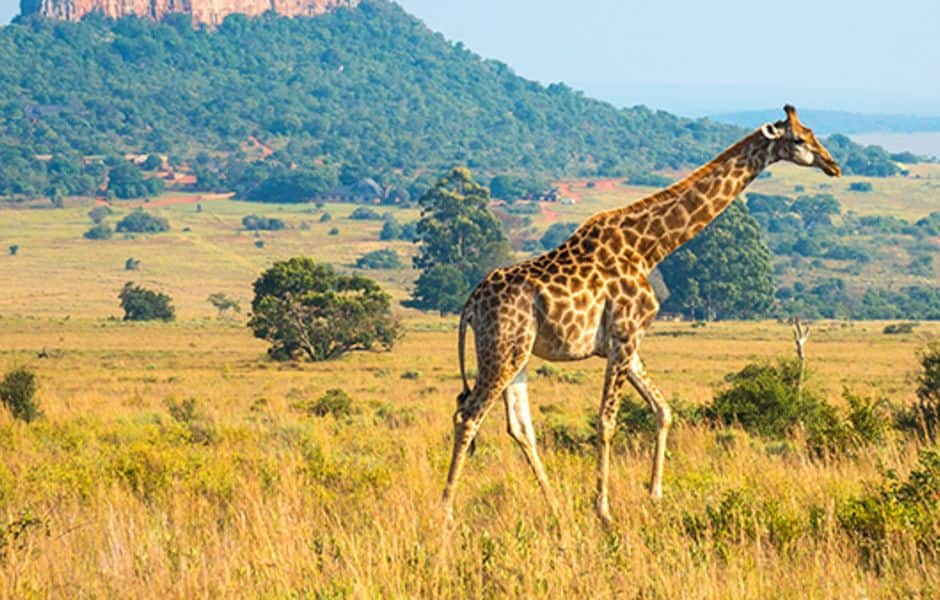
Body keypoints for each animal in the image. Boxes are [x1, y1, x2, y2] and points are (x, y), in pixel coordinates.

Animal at [444, 105, 840, 524]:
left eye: (812, 132)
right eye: (798, 139)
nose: (833, 164)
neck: (649, 248)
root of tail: (471, 303)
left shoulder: (628, 344)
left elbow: (663, 410)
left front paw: (655, 494)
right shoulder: (624, 337)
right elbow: (606, 421)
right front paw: (603, 509)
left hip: (517, 352)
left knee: (519, 427)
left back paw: (554, 505)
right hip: (502, 349)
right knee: (468, 416)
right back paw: (447, 510)